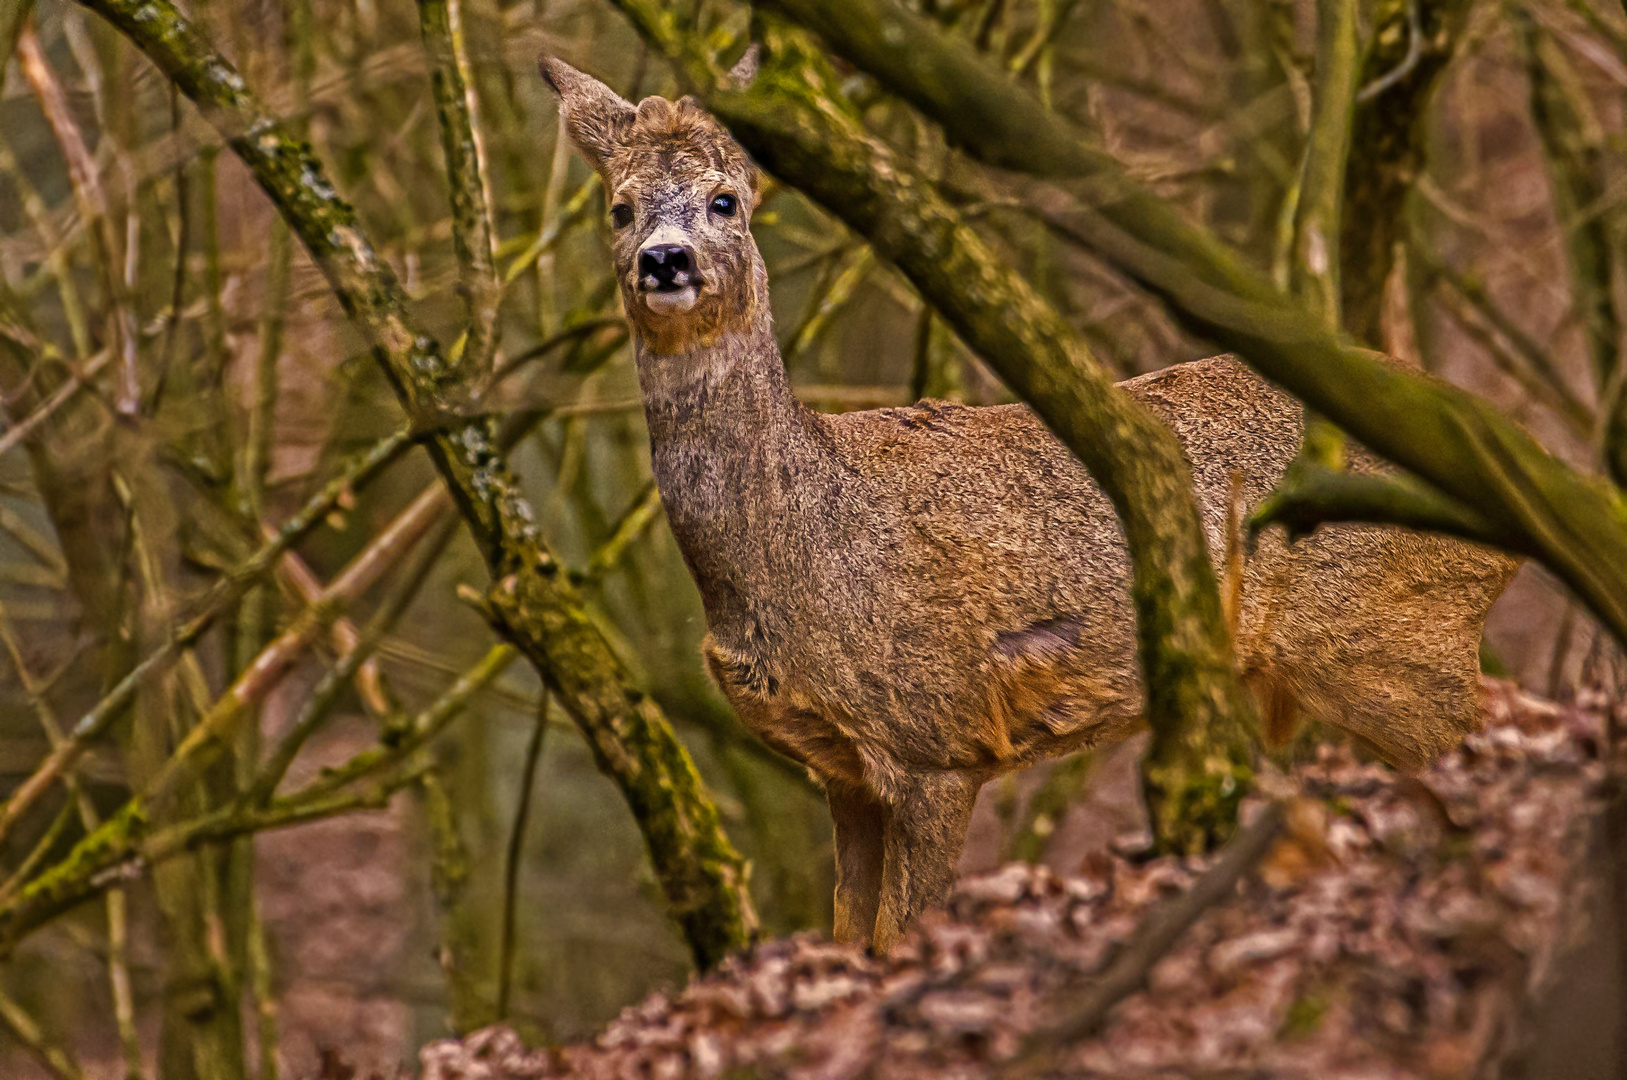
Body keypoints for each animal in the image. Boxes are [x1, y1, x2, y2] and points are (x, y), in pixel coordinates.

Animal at [540, 58, 1516, 956]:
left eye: (727, 200)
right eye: (619, 208)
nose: (664, 261)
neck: (803, 541)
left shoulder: (937, 737)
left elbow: (902, 933)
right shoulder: (840, 770)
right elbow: (852, 937)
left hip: (1391, 641)